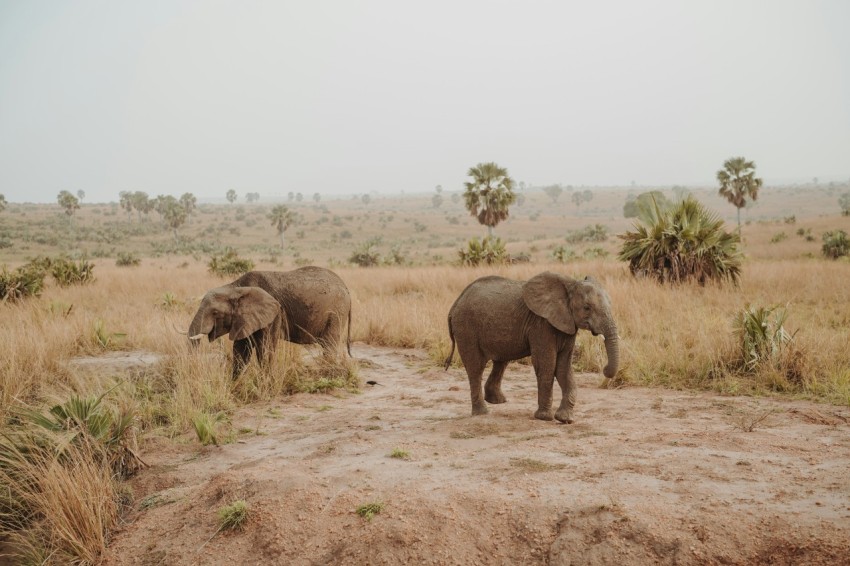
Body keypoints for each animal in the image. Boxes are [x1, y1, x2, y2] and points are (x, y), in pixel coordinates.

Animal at [188, 266, 352, 378]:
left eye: (215, 313)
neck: (235, 288)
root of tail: (345, 287)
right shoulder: (244, 319)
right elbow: (241, 350)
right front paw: (234, 385)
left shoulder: (274, 315)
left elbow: (265, 348)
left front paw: (266, 382)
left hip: (336, 312)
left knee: (329, 344)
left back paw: (328, 374)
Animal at [444, 271, 619, 423]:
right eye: (587, 307)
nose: (604, 369)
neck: (570, 284)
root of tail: (455, 304)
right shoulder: (541, 324)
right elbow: (547, 365)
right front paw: (545, 418)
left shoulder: (567, 324)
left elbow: (564, 368)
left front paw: (565, 419)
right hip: (466, 327)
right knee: (476, 367)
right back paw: (482, 412)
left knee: (501, 362)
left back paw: (498, 401)